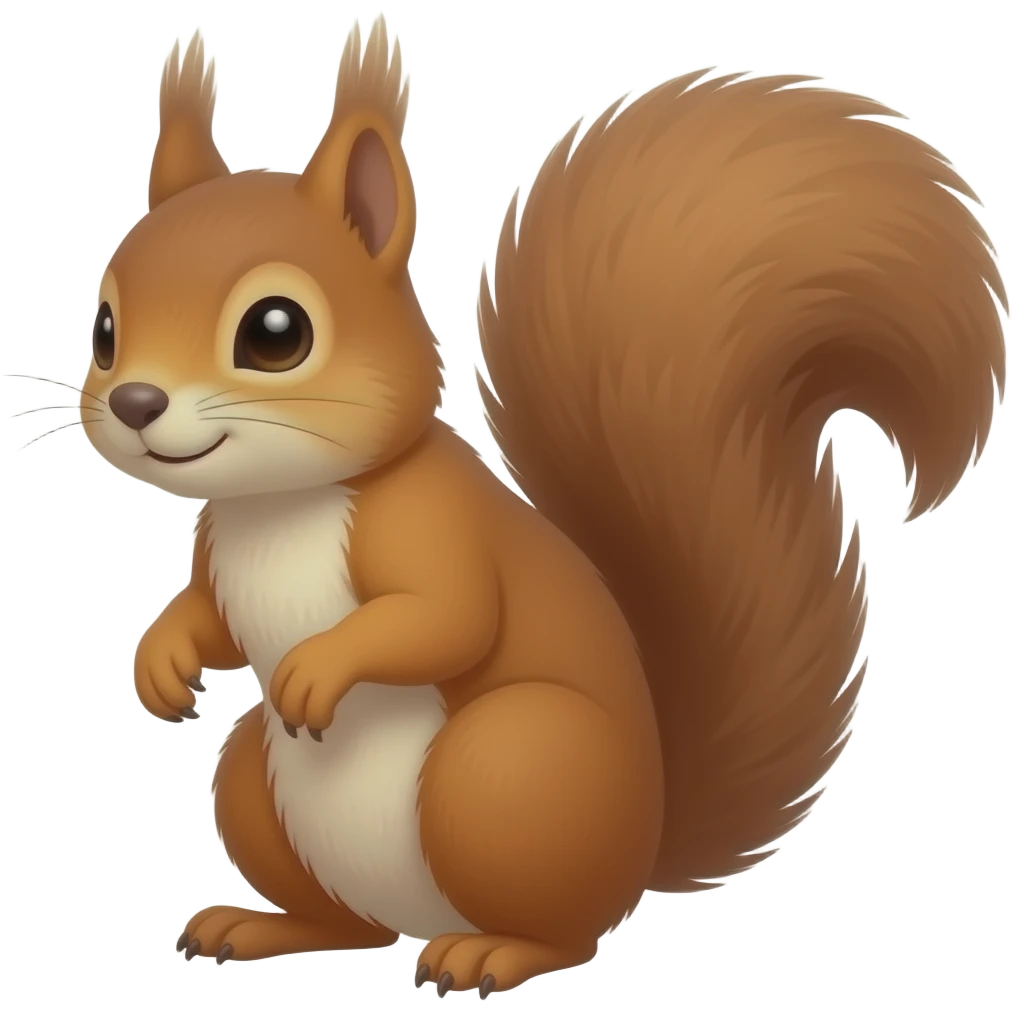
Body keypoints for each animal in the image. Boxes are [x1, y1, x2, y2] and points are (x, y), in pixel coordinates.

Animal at [63, 14, 1005, 997]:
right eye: (104, 329)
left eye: (275, 332)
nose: (134, 403)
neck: (281, 505)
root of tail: (643, 844)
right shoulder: (215, 550)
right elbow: (208, 615)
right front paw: (161, 658)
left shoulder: (431, 524)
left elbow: (448, 615)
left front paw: (319, 665)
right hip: (259, 781)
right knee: (348, 921)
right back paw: (261, 926)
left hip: (511, 766)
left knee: (565, 932)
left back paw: (493, 953)